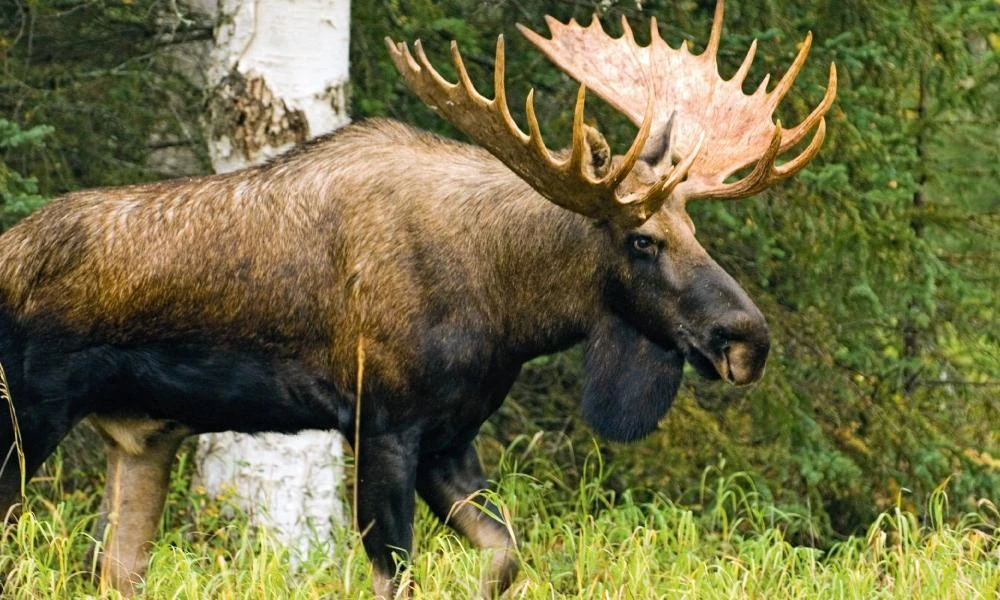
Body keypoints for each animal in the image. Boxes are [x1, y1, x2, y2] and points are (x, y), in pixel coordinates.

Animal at [0, 1, 836, 596]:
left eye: (693, 225)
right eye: (642, 240)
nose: (746, 338)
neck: (509, 307)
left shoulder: (450, 437)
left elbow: (505, 558)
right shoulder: (383, 423)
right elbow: (393, 575)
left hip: (143, 437)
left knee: (111, 567)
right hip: (27, 418)